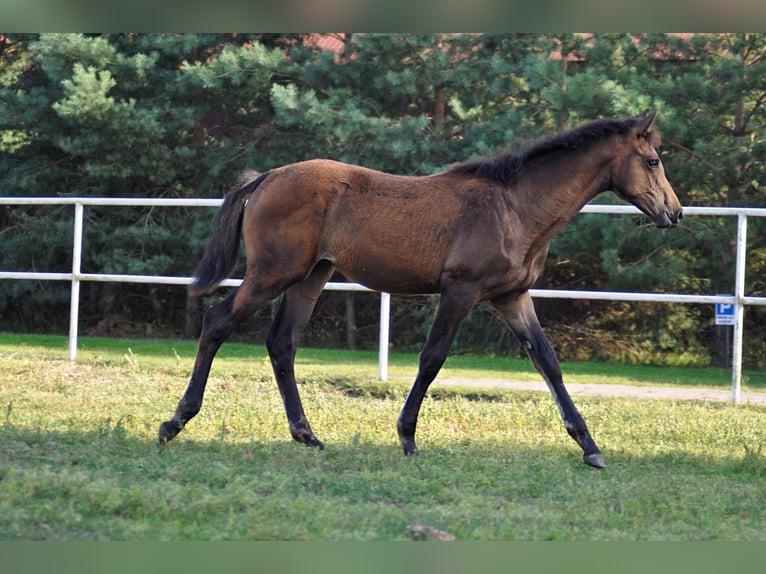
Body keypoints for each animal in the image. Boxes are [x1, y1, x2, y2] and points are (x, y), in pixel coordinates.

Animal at [160, 110, 684, 470]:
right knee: (217, 321)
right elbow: (432, 358)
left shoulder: (511, 297)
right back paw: (175, 422)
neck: (514, 208)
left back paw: (306, 434)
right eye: (653, 160)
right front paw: (407, 436)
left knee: (281, 343)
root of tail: (265, 177)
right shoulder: (461, 291)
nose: (675, 213)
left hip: (311, 276)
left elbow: (548, 362)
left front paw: (590, 447)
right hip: (273, 274)